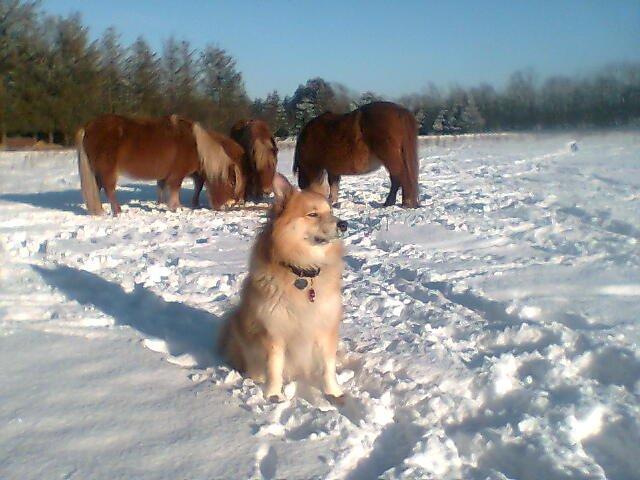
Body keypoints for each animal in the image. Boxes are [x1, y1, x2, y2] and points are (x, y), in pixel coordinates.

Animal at [75, 114, 245, 216]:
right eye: (232, 182)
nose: (229, 205)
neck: (195, 144)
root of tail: (88, 127)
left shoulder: (166, 174)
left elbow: (162, 187)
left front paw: (162, 204)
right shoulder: (177, 174)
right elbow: (175, 189)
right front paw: (176, 207)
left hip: (96, 172)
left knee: (98, 188)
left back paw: (98, 210)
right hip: (107, 170)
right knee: (109, 189)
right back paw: (117, 210)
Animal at [220, 172, 350, 402]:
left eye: (331, 211)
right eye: (313, 214)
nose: (344, 224)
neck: (302, 271)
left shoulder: (325, 326)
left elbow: (328, 365)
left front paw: (333, 392)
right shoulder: (274, 330)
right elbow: (274, 366)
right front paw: (273, 394)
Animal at [292, 101, 420, 206]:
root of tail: (400, 111)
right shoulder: (332, 169)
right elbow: (334, 184)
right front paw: (333, 201)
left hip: (390, 158)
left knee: (400, 177)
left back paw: (405, 203)